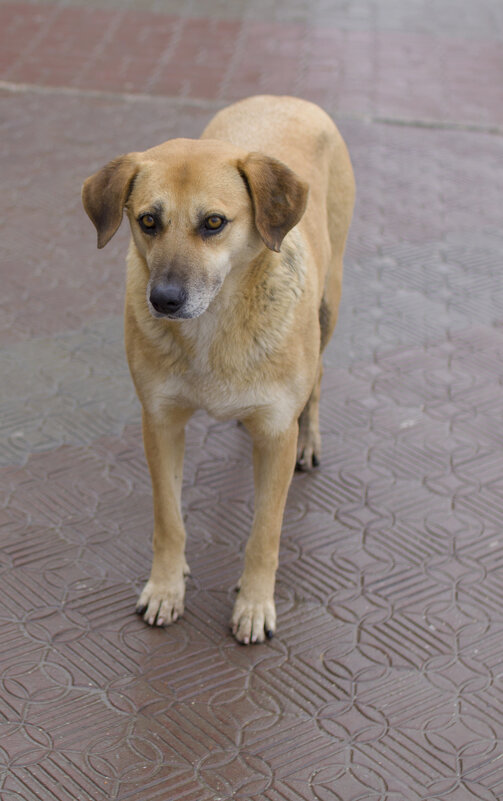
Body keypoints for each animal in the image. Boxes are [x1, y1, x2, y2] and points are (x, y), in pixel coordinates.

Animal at [81, 95, 354, 644]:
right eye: (148, 220)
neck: (215, 327)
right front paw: (166, 587)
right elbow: (169, 519)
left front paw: (254, 604)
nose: (164, 300)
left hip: (329, 304)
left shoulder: (275, 434)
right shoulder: (160, 422)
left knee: (317, 378)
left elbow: (265, 533)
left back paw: (310, 437)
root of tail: (284, 99)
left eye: (213, 223)